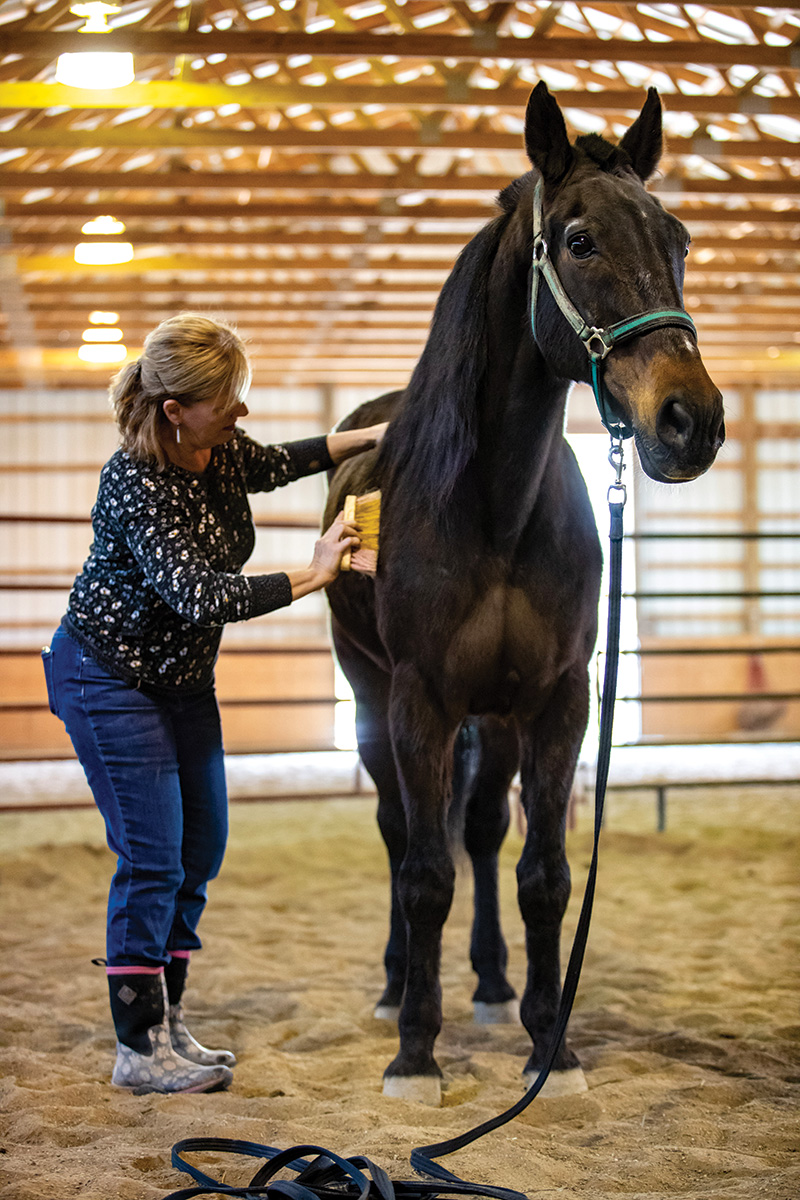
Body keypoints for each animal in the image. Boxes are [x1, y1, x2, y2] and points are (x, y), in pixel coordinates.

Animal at [323, 84, 724, 1104]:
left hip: (494, 718)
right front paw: (416, 1056)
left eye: (679, 239)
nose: (691, 421)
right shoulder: (421, 700)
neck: (494, 508)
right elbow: (424, 874)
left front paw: (552, 1043)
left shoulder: (555, 701)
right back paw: (397, 989)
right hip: (374, 697)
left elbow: (542, 873)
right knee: (401, 835)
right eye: (579, 240)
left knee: (482, 831)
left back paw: (495, 987)